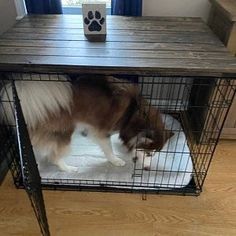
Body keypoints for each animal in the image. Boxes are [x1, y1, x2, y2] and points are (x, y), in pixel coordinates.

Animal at [0, 74, 173, 172]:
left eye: (155, 154)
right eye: (149, 153)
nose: (148, 169)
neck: (133, 112)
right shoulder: (102, 132)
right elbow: (108, 150)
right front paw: (116, 161)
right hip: (64, 133)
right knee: (54, 156)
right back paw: (68, 169)